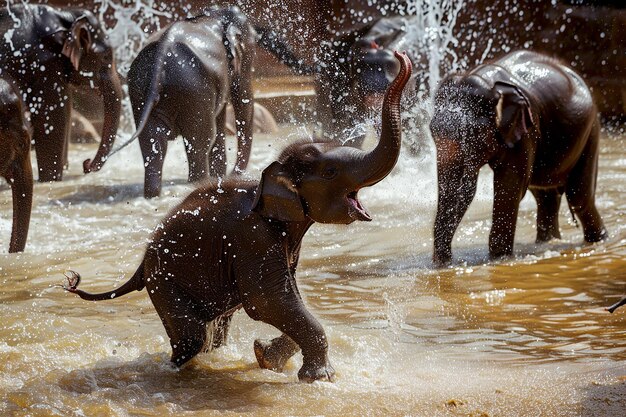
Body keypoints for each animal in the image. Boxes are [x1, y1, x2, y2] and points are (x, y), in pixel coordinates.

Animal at [0, 4, 122, 181]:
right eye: (106, 57)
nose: (86, 164)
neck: (66, 16)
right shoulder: (44, 63)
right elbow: (52, 119)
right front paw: (50, 180)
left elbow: (65, 111)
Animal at [66, 51, 412, 380]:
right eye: (330, 171)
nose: (400, 57)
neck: (269, 180)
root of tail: (141, 264)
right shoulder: (253, 239)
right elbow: (268, 299)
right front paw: (319, 378)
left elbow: (289, 296)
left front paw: (265, 357)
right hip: (164, 281)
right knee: (192, 339)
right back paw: (181, 367)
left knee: (216, 327)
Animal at [428, 48, 604, 264]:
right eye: (432, 131)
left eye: (474, 134)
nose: (445, 262)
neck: (487, 83)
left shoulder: (524, 130)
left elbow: (509, 185)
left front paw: (499, 258)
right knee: (546, 197)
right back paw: (547, 242)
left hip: (590, 130)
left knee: (578, 197)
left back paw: (598, 241)